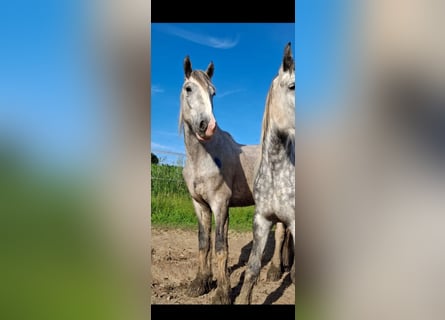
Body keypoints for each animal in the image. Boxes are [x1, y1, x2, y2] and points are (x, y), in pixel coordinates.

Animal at [180, 54, 292, 302]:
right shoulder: (200, 204)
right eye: (189, 88)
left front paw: (222, 293)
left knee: (281, 234)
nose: (207, 126)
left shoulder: (220, 204)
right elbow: (204, 242)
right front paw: (200, 283)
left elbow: (221, 246)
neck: (203, 156)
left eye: (213, 92)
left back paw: (274, 270)